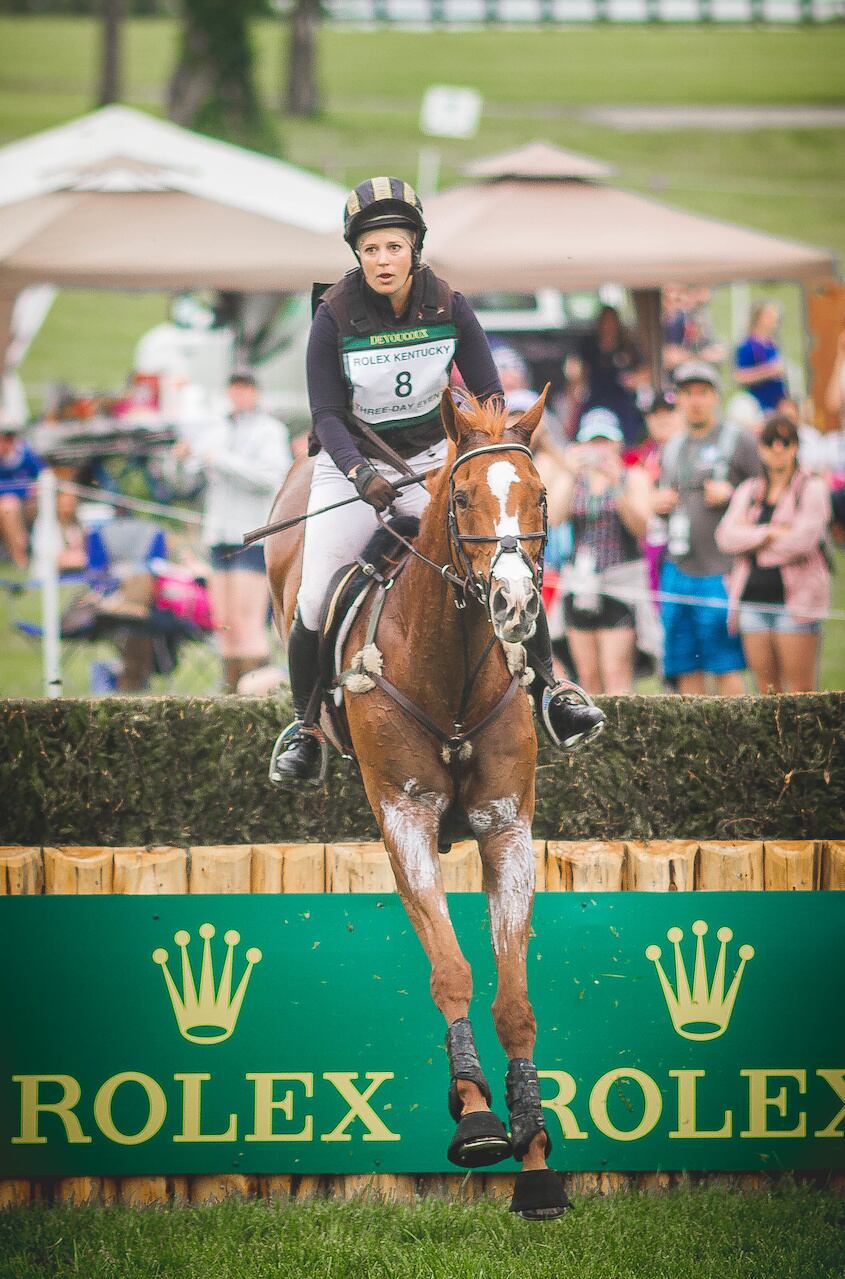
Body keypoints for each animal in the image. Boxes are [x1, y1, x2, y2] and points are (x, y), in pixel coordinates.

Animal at [265, 388, 568, 1219]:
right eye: (460, 498)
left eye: (539, 495)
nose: (513, 602)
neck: (450, 666)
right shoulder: (404, 822)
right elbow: (451, 970)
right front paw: (477, 1119)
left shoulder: (506, 828)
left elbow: (515, 999)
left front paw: (534, 1156)